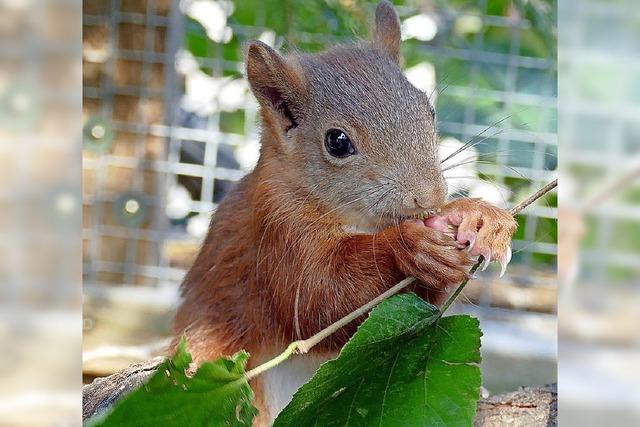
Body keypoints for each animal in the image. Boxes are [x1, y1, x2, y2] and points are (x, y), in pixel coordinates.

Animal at [172, 1, 516, 424]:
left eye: (429, 110)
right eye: (336, 142)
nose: (429, 197)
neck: (359, 220)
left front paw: (477, 216)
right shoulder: (277, 231)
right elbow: (321, 300)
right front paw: (407, 246)